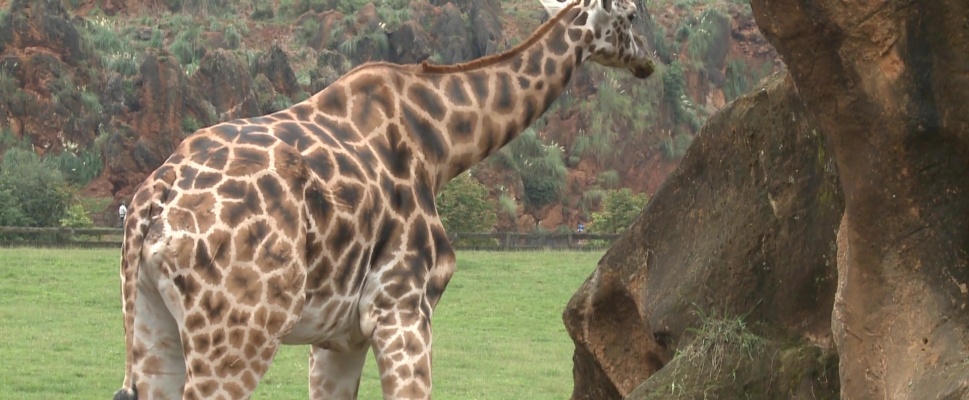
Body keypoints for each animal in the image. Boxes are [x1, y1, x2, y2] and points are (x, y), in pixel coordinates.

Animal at [117, 1, 656, 398]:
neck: (441, 147)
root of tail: (151, 202)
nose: (649, 61)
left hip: (151, 326)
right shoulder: (404, 308)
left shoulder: (339, 337)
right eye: (632, 14)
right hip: (237, 333)